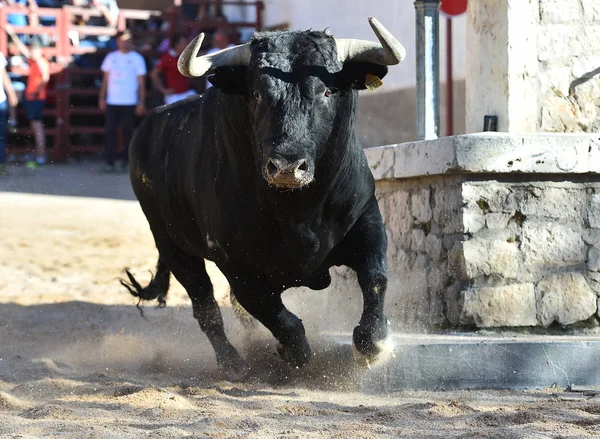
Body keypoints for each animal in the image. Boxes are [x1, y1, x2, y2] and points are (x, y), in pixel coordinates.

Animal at [122, 23, 404, 378]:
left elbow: (375, 277)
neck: (297, 210)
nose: (286, 166)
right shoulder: (235, 263)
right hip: (173, 247)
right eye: (257, 94)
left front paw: (374, 345)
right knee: (206, 308)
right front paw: (289, 352)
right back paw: (233, 364)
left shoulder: (366, 221)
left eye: (327, 92)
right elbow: (274, 314)